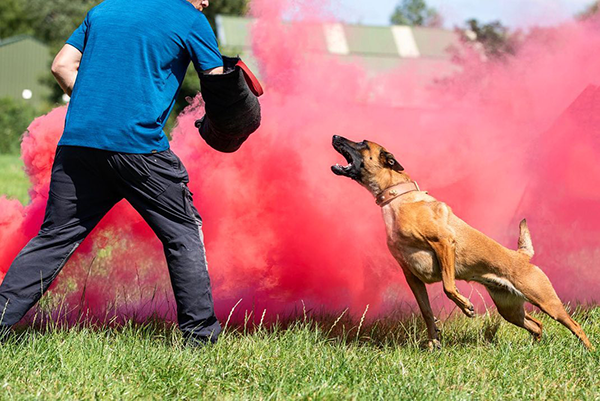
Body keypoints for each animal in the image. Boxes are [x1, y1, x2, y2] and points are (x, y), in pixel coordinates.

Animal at [332, 134, 596, 346]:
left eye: (363, 143)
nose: (335, 136)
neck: (397, 198)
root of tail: (521, 257)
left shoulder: (444, 243)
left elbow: (449, 286)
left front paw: (466, 306)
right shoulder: (411, 276)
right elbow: (426, 312)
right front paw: (434, 343)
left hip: (547, 301)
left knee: (575, 326)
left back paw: (588, 352)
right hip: (509, 308)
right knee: (536, 325)